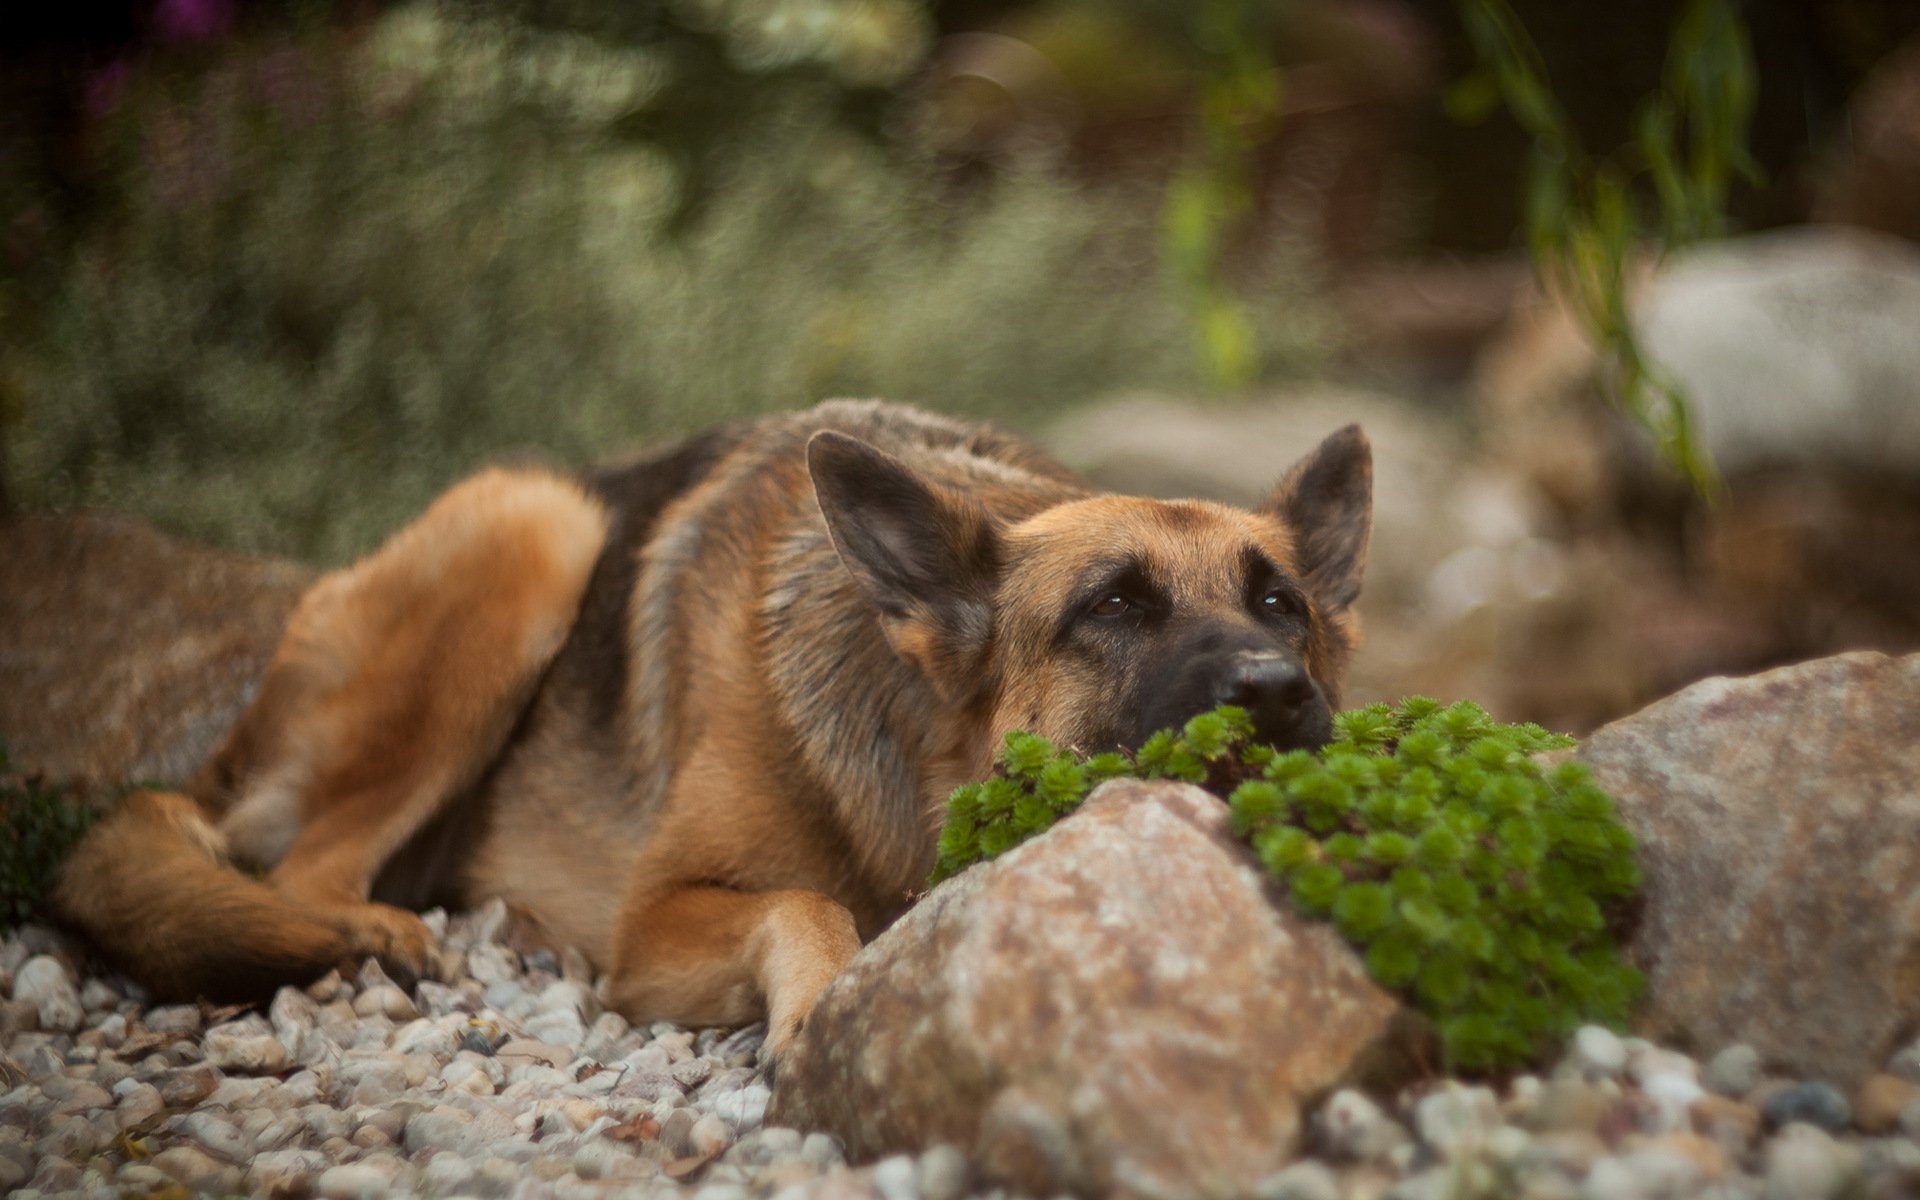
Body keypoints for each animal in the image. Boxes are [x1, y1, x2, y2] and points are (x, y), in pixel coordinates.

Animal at [52, 397, 1374, 1052]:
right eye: (1114, 606)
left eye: (1280, 604)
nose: (1275, 688)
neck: (912, 754)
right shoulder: (656, 925)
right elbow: (805, 901)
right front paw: (820, 1010)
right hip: (537, 522)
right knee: (306, 869)